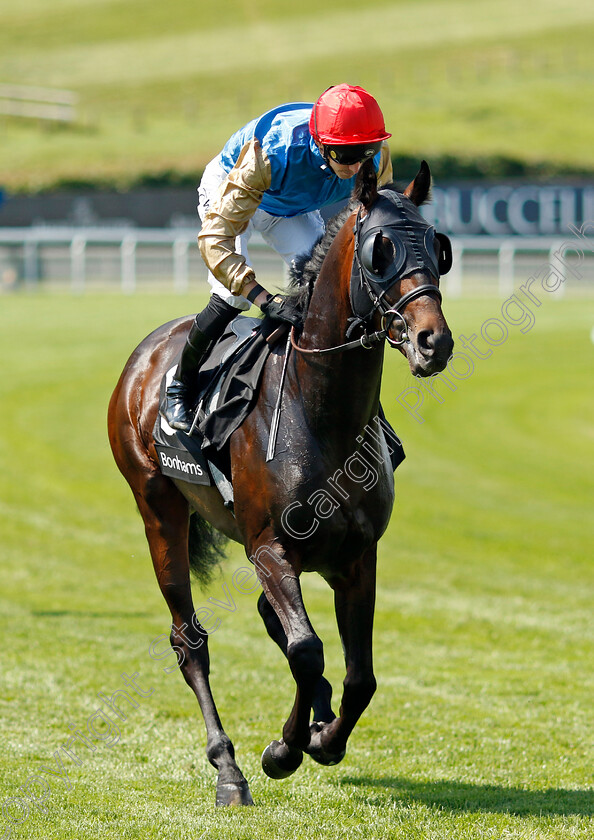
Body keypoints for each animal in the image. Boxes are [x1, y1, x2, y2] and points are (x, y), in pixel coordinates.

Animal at [107, 159, 454, 808]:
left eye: (438, 247)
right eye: (381, 251)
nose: (433, 342)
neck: (319, 414)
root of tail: (146, 353)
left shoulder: (357, 555)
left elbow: (358, 674)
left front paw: (325, 737)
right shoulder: (270, 547)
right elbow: (306, 649)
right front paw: (283, 750)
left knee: (275, 624)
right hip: (158, 507)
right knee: (190, 640)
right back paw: (229, 769)